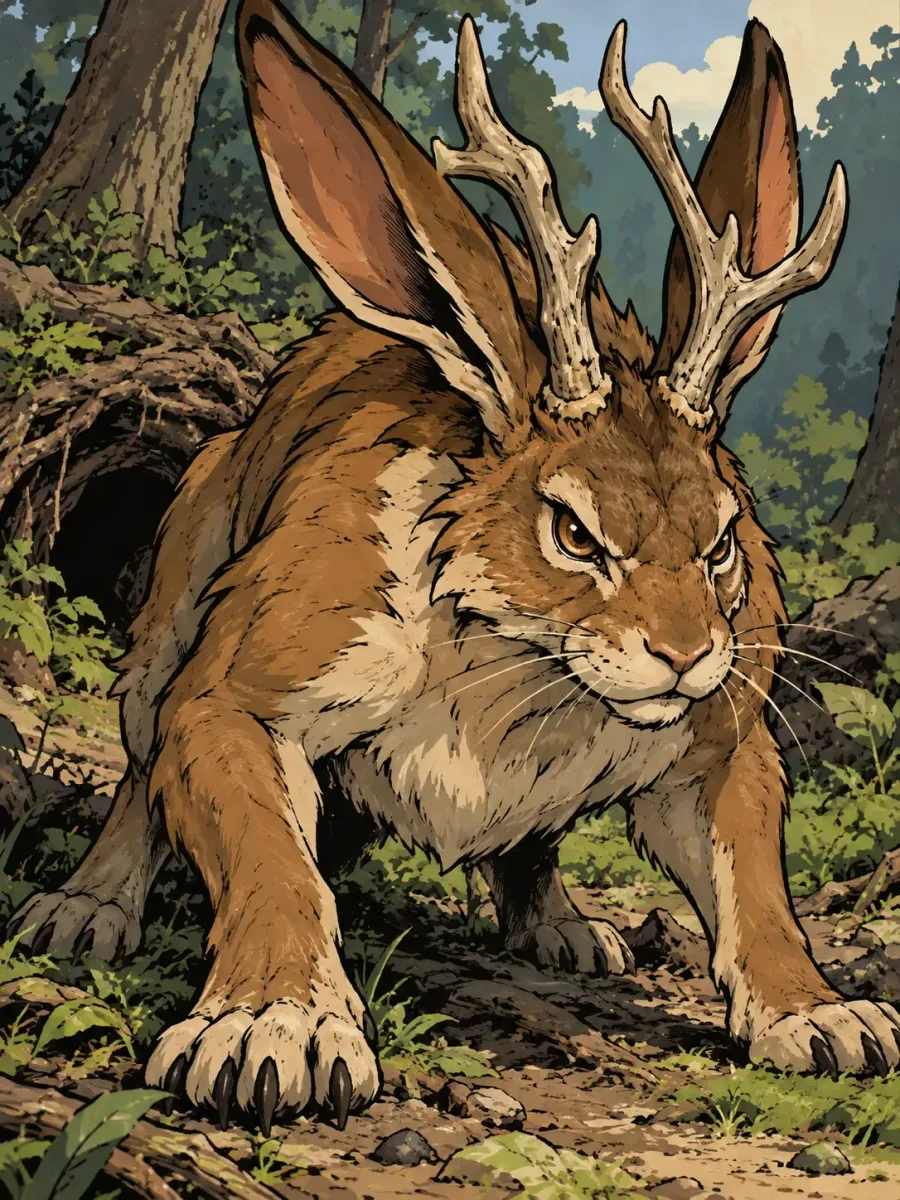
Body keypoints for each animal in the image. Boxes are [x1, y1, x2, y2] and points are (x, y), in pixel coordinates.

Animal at [9, 0, 899, 1135]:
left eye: (721, 539)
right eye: (574, 531)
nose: (687, 653)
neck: (520, 672)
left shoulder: (726, 742)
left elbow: (758, 887)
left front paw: (826, 1020)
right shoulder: (235, 689)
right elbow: (270, 860)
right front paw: (272, 1032)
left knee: (536, 845)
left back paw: (565, 930)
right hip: (168, 613)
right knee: (134, 768)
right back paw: (81, 910)